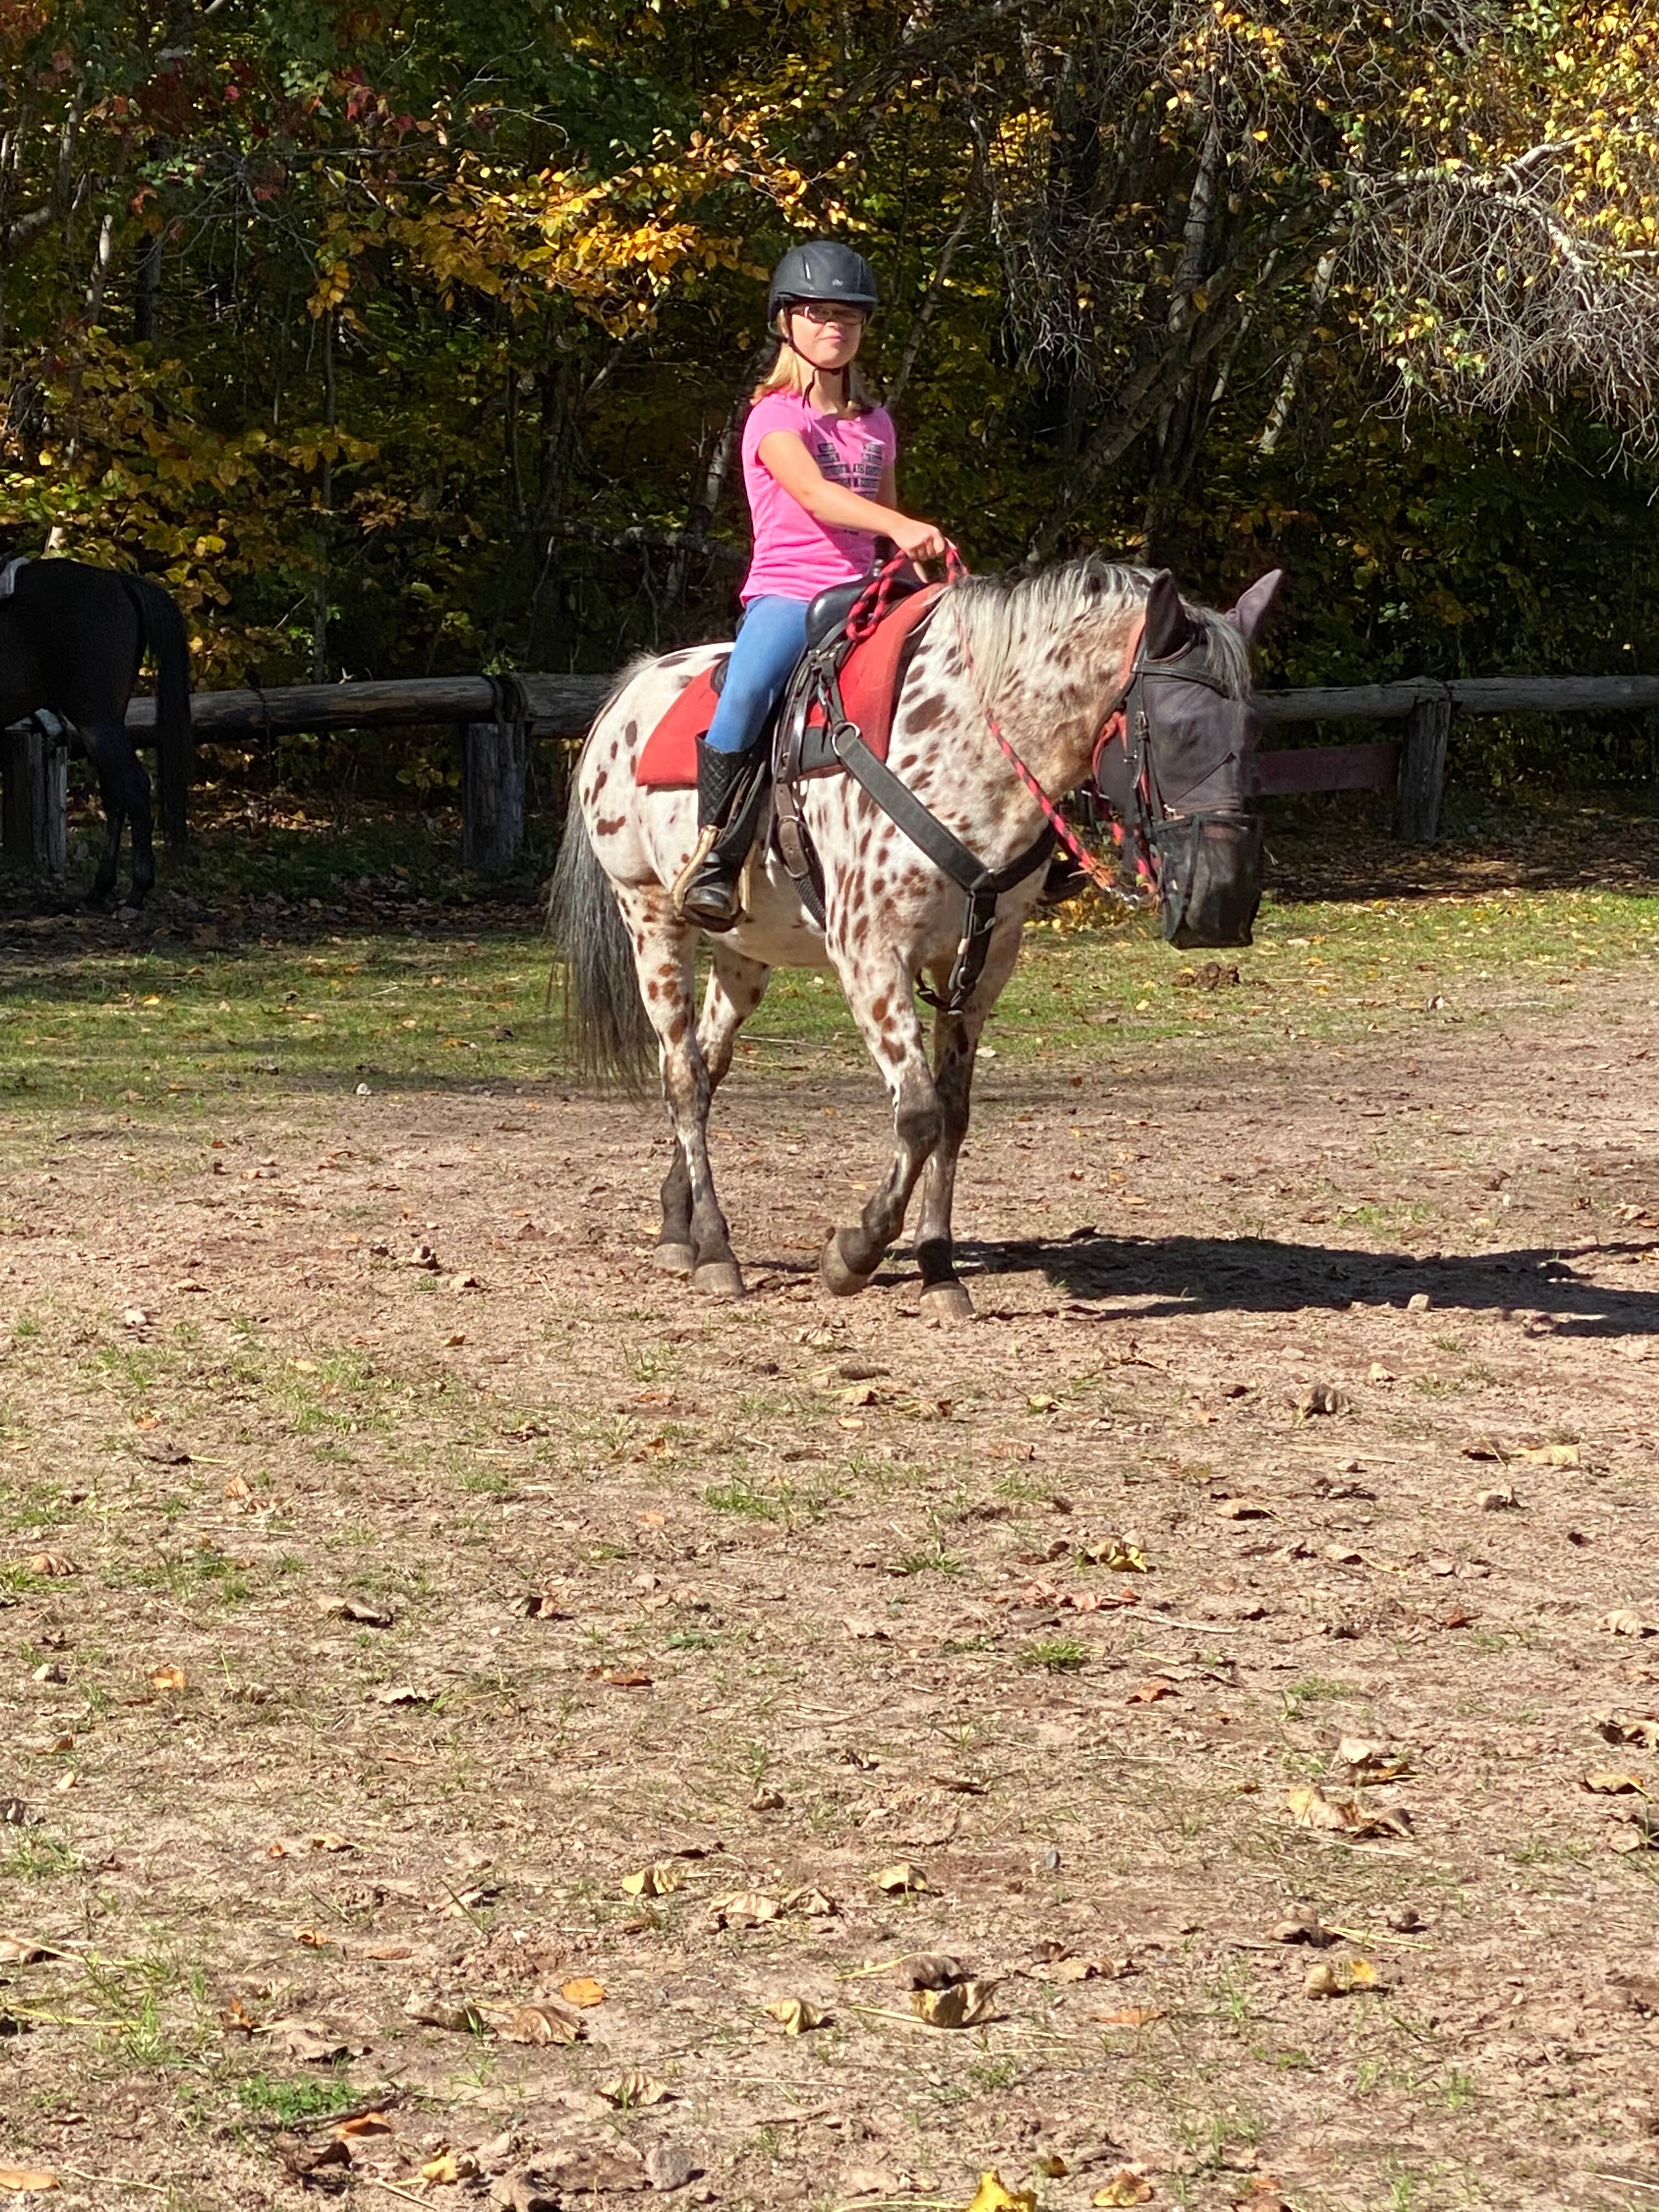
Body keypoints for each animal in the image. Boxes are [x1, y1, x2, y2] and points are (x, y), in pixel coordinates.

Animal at [0, 562, 191, 907]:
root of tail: (117, 579)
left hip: (97, 721)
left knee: (135, 786)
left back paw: (138, 888)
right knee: (116, 794)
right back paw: (101, 887)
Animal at [553, 557, 1283, 1309]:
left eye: (1253, 729)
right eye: (1176, 727)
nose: (1221, 903)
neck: (962, 754)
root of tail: (636, 683)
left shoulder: (983, 964)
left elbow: (954, 1113)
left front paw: (938, 1265)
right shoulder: (872, 958)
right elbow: (921, 1114)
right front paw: (854, 1251)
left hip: (745, 951)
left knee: (709, 1063)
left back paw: (679, 1229)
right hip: (650, 918)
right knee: (683, 1074)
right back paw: (715, 1249)